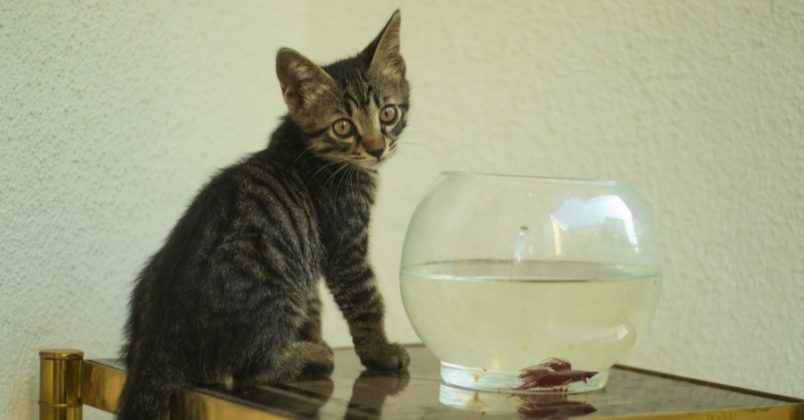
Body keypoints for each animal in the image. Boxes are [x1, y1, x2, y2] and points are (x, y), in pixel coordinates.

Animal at [116, 11, 412, 418]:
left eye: (387, 112)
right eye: (343, 126)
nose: (377, 147)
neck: (305, 146)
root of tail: (159, 341)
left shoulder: (313, 255)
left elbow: (313, 304)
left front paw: (314, 333)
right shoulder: (344, 244)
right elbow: (366, 300)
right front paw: (380, 353)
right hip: (270, 291)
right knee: (250, 372)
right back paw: (310, 357)